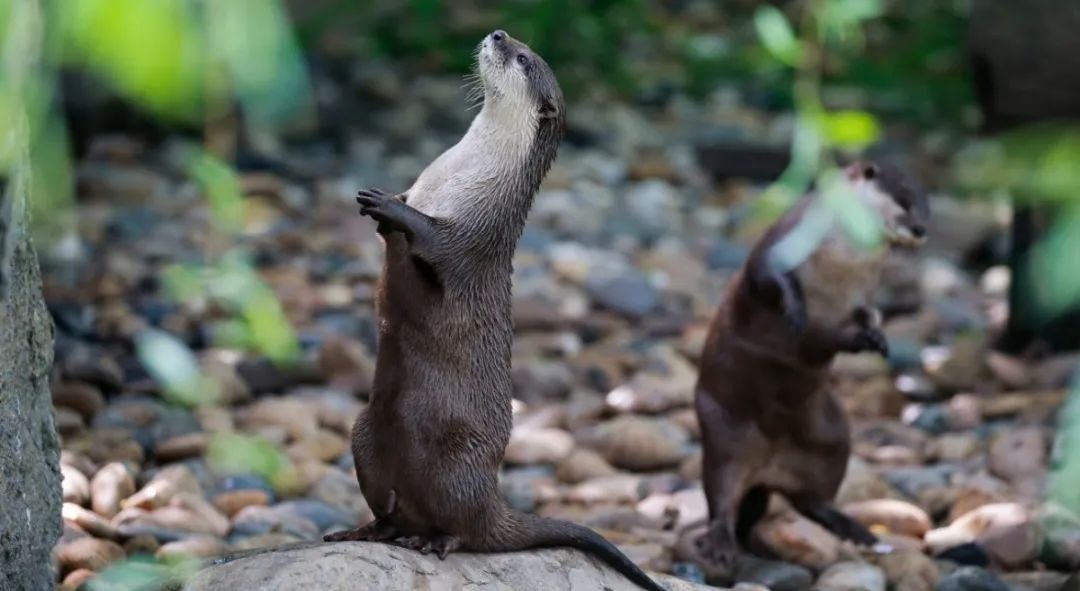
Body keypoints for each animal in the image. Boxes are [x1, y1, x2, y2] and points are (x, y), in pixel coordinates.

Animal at [324, 31, 665, 591]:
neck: (456, 178)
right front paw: (380, 201)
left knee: (461, 529)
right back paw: (363, 531)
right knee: (388, 510)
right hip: (364, 435)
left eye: (523, 58)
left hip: (454, 464)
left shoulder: (476, 232)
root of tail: (493, 501)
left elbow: (435, 239)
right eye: (514, 43)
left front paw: (389, 205)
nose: (500, 35)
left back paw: (435, 541)